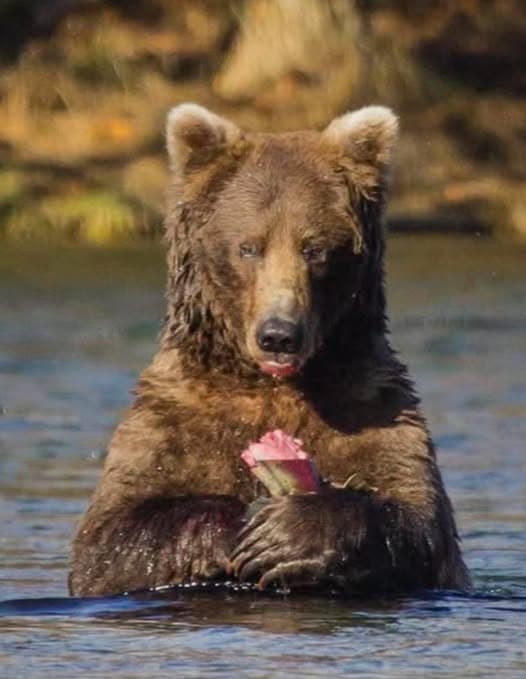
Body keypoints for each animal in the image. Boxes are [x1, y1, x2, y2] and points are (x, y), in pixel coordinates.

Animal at [69, 103, 470, 597]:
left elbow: (417, 523)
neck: (271, 386)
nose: (279, 334)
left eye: (315, 248)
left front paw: (288, 532)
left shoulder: (374, 407)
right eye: (248, 247)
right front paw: (242, 523)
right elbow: (109, 542)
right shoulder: (169, 420)